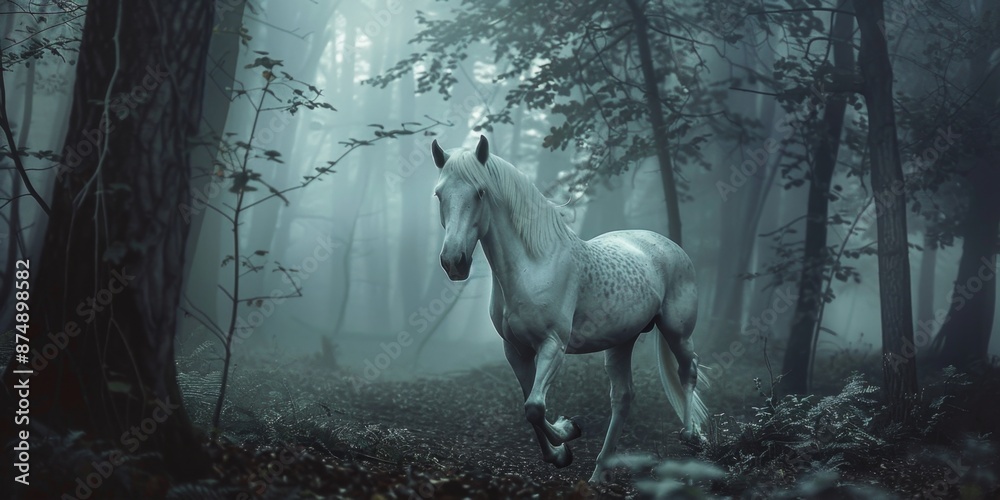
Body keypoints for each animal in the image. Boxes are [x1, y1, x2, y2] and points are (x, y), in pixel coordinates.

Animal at [429, 135, 708, 483]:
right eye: (439, 194)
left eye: (480, 192)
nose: (454, 261)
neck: (533, 265)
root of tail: (667, 245)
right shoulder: (516, 350)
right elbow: (530, 404)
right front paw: (560, 452)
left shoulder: (553, 345)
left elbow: (535, 407)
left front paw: (569, 430)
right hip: (621, 341)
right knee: (623, 397)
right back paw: (599, 473)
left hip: (677, 332)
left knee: (688, 371)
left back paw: (693, 436)